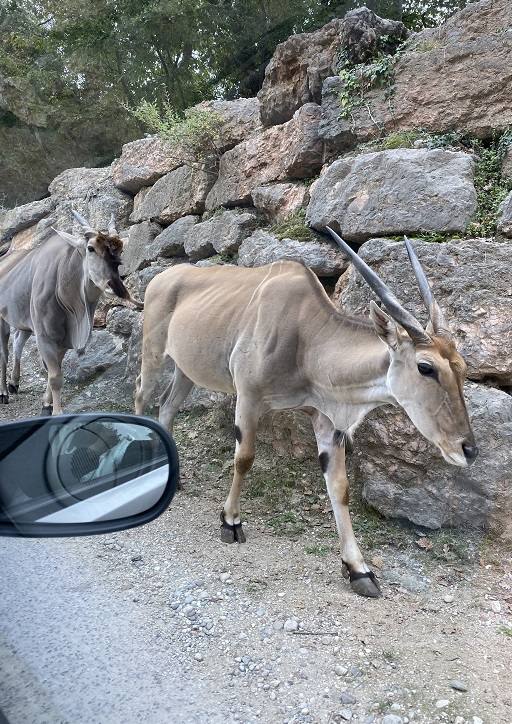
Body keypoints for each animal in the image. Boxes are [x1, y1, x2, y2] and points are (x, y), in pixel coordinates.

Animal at [0, 211, 138, 412]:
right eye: (90, 248)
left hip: (24, 323)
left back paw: (14, 383)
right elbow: (55, 376)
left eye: (120, 251)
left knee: (18, 343)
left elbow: (56, 370)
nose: (116, 287)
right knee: (4, 353)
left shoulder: (63, 340)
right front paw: (56, 411)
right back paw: (3, 393)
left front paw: (47, 404)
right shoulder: (45, 337)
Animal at [135, 229, 476, 596]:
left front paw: (358, 569)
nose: (467, 449)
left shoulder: (327, 421)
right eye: (426, 367)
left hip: (186, 371)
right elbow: (244, 458)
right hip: (153, 353)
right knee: (141, 396)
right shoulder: (248, 398)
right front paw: (231, 521)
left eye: (462, 367)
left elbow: (339, 487)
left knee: (167, 406)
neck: (306, 335)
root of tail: (161, 277)